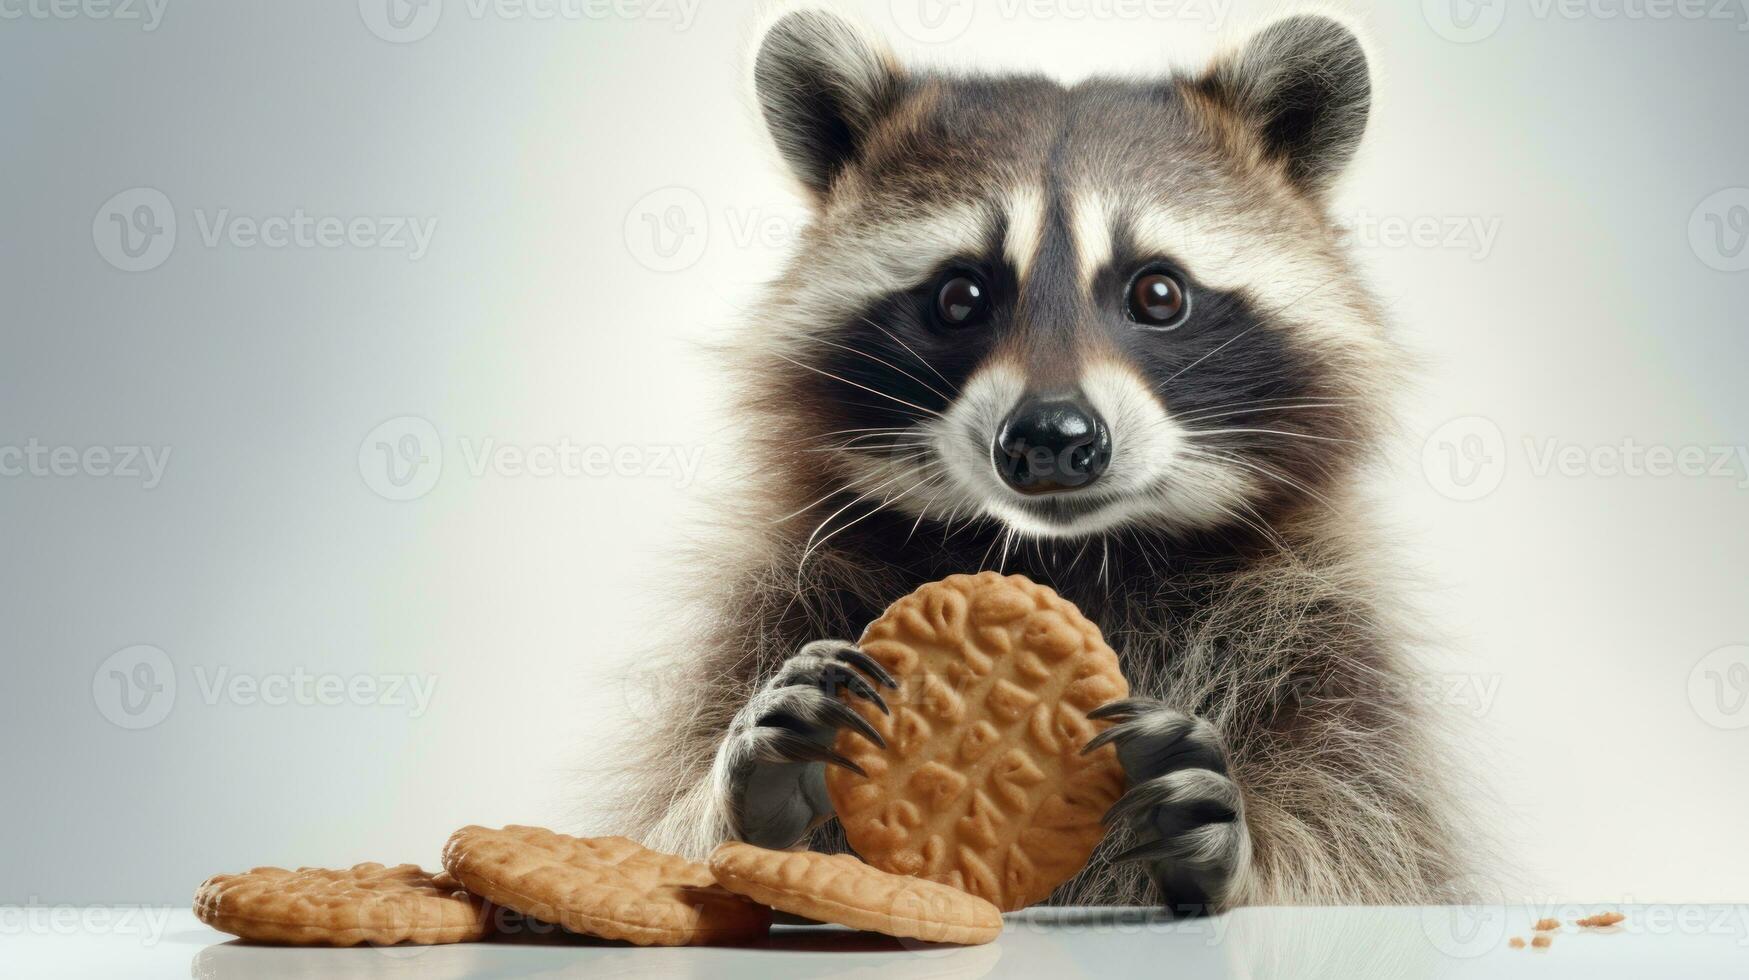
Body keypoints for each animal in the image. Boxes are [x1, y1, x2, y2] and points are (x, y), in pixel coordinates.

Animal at [615, 7, 1476, 917]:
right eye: (960, 295)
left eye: (1157, 293)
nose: (1052, 437)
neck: (1074, 557)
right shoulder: (769, 607)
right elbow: (661, 831)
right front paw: (756, 800)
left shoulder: (1331, 664)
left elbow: (1363, 857)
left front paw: (1232, 855)